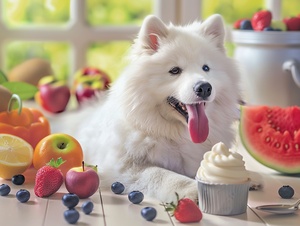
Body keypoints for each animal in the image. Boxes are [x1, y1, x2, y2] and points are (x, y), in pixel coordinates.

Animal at [72, 14, 241, 203]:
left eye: (206, 68)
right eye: (175, 70)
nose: (204, 87)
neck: (175, 134)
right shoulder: (124, 167)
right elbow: (163, 174)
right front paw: (193, 190)